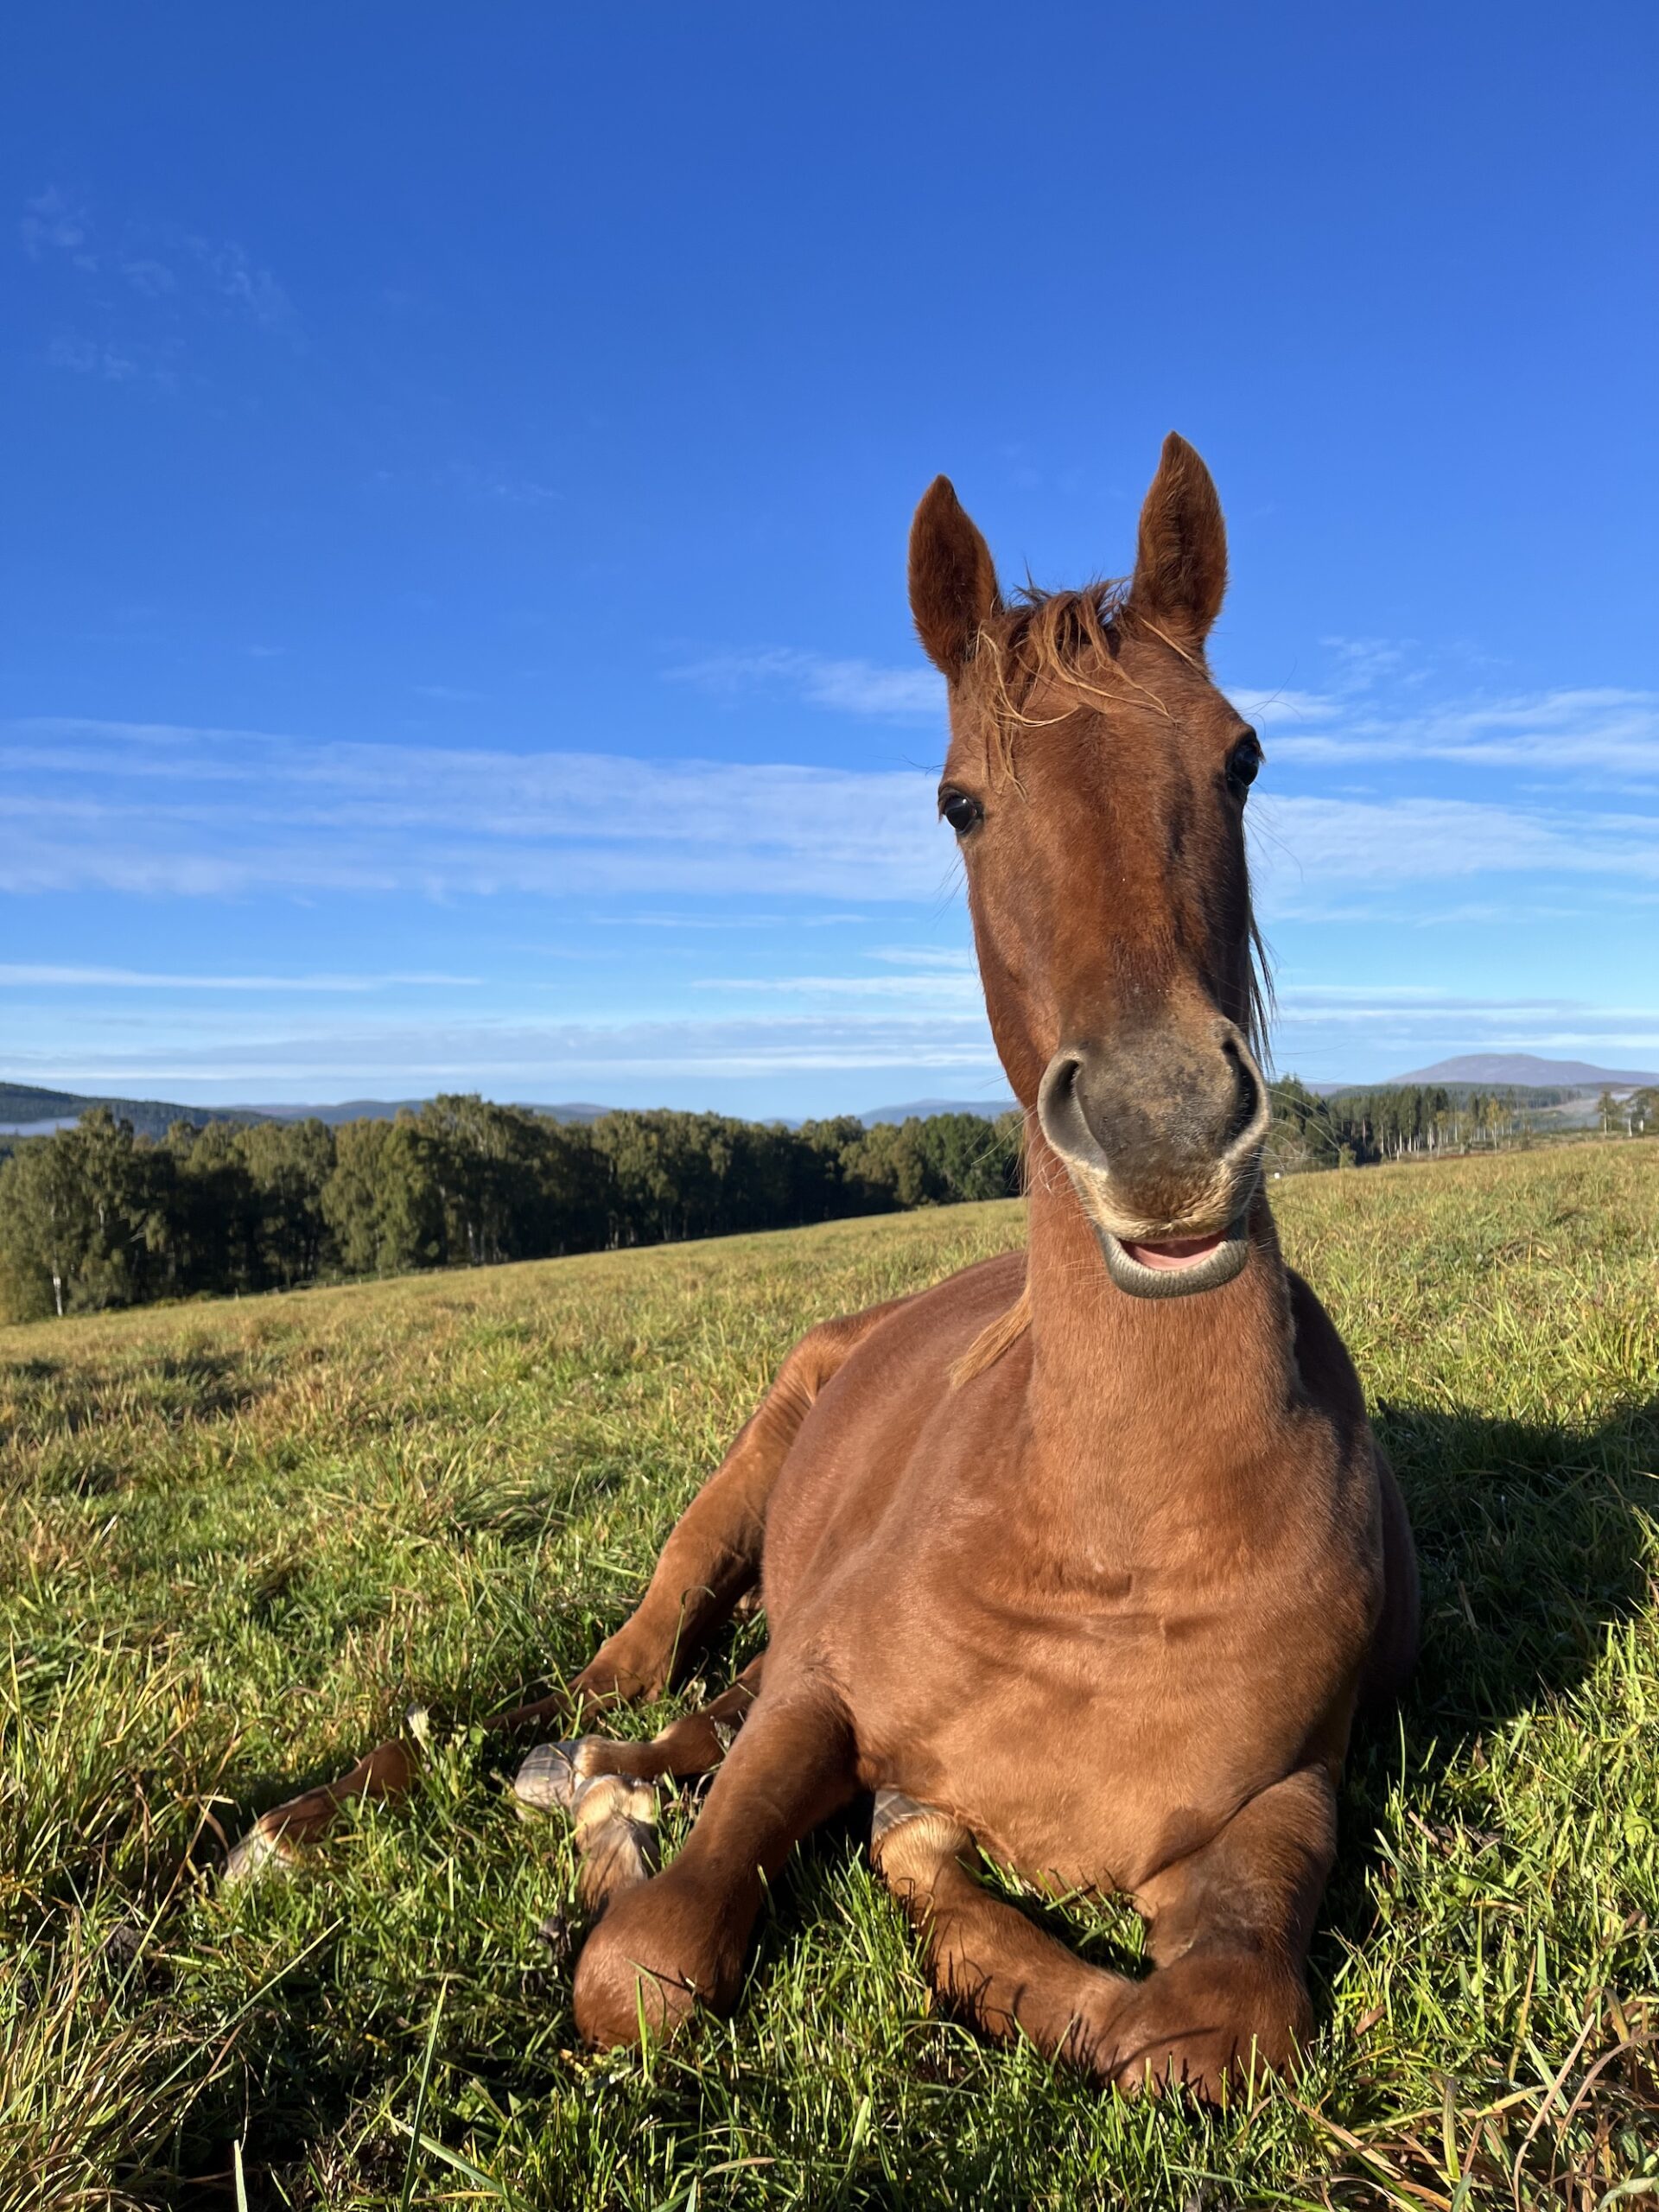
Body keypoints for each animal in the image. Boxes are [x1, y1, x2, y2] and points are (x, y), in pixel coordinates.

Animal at [228, 434, 1419, 2098]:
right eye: (961, 802)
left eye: (1241, 759)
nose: (1166, 1128)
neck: (1123, 1538)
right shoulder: (824, 1698)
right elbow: (652, 1962)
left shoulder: (1280, 1801)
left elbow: (1210, 2028)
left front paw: (929, 1876)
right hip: (727, 1512)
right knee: (611, 1684)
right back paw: (315, 1823)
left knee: (674, 1726)